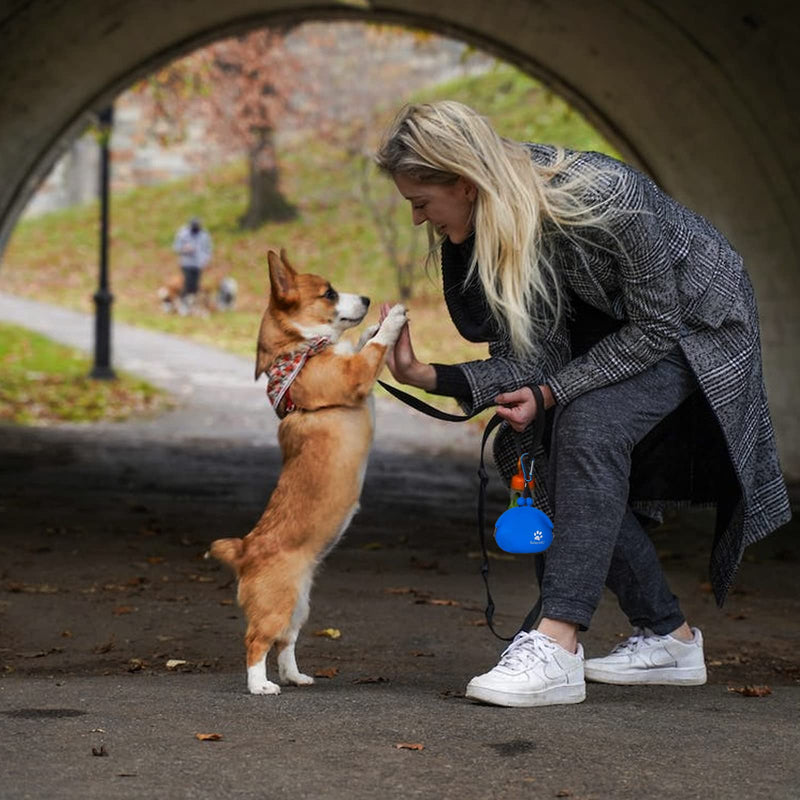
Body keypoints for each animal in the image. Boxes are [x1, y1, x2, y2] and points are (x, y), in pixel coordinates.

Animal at [208, 250, 406, 692]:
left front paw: (372, 326)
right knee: (256, 641)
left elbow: (361, 343)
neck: (302, 348)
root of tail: (245, 551)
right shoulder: (354, 376)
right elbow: (372, 351)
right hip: (277, 606)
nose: (368, 299)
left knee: (286, 643)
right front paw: (391, 322)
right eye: (329, 293)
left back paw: (295, 676)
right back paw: (260, 685)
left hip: (299, 606)